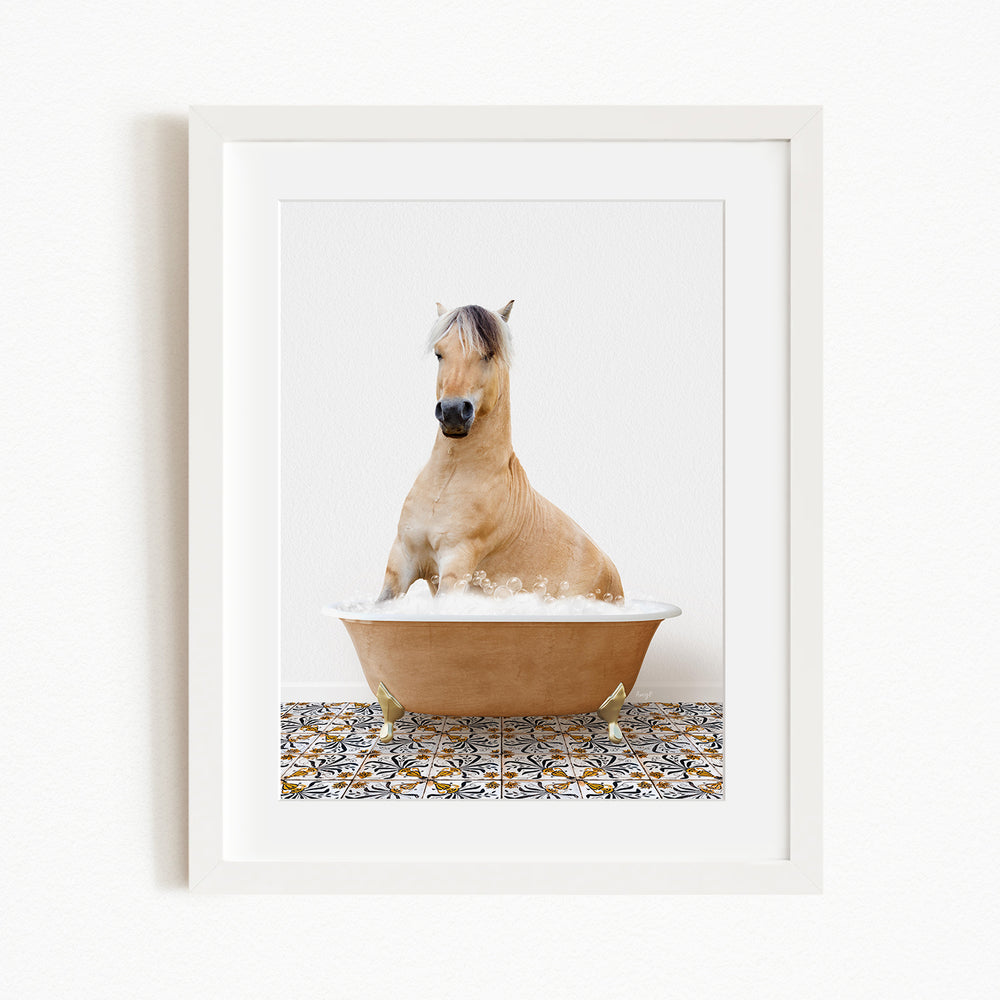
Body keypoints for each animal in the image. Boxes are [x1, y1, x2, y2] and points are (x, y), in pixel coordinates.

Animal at [377, 301, 623, 603]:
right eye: (439, 353)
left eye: (488, 354)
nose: (452, 412)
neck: (447, 482)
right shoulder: (402, 559)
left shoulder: (456, 564)